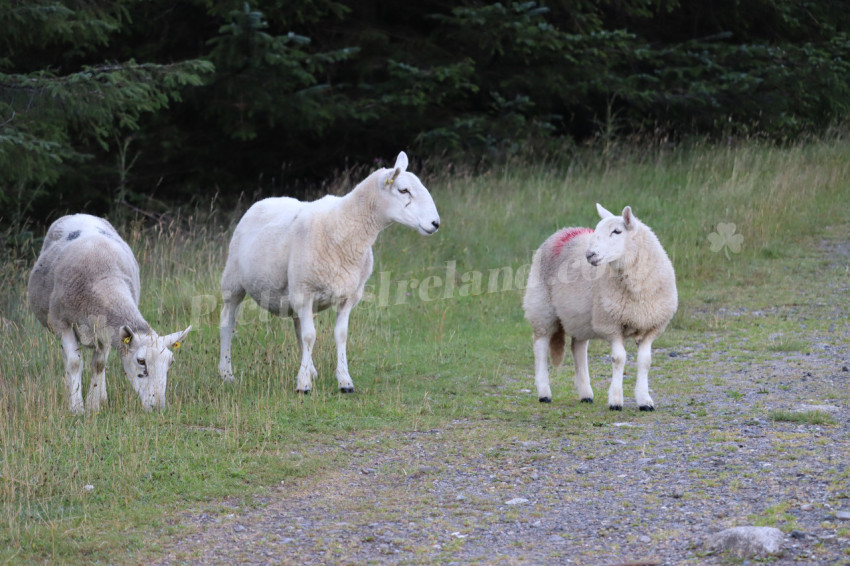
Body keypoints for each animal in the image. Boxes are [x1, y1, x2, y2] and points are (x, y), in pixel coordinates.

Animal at [28, 215, 192, 414]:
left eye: (171, 362)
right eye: (141, 361)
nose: (158, 408)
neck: (105, 283)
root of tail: (80, 214)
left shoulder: (105, 329)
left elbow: (99, 365)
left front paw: (94, 403)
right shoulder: (63, 323)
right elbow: (74, 363)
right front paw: (77, 408)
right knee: (68, 359)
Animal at [516, 204, 676, 412]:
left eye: (617, 231)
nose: (589, 255)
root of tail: (565, 230)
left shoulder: (651, 326)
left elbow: (645, 362)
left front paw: (645, 400)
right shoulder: (611, 324)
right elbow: (619, 358)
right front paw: (615, 400)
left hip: (579, 316)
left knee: (578, 348)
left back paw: (586, 394)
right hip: (541, 306)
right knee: (540, 346)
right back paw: (544, 393)